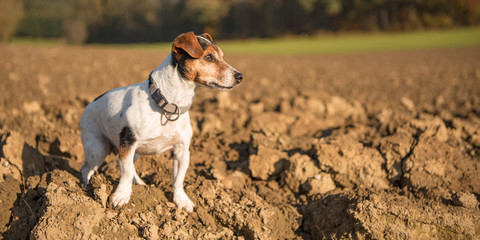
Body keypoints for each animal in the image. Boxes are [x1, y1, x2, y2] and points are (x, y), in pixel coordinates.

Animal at [81, 31, 244, 212]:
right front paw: (121, 196)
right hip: (97, 149)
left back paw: (140, 184)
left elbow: (178, 179)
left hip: (134, 153)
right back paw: (87, 185)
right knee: (86, 168)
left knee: (131, 168)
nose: (240, 76)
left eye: (222, 56)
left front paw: (181, 200)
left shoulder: (182, 151)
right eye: (208, 57)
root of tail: (90, 103)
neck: (167, 104)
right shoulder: (127, 145)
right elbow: (126, 173)